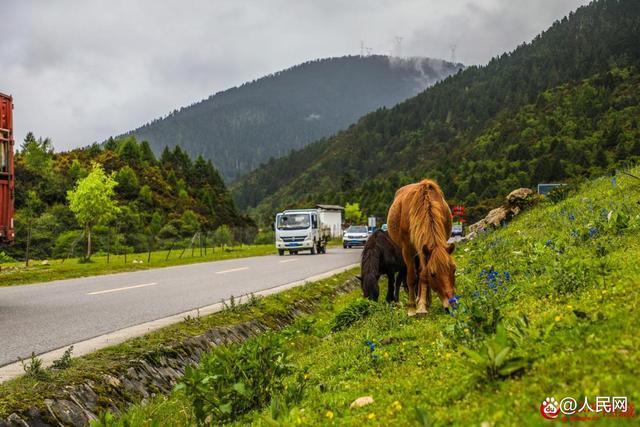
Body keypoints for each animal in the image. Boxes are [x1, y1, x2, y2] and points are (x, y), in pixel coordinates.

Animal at [384, 179, 456, 316]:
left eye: (454, 270)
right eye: (433, 274)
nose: (452, 304)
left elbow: (423, 275)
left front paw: (422, 306)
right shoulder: (407, 249)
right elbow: (412, 277)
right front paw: (412, 309)